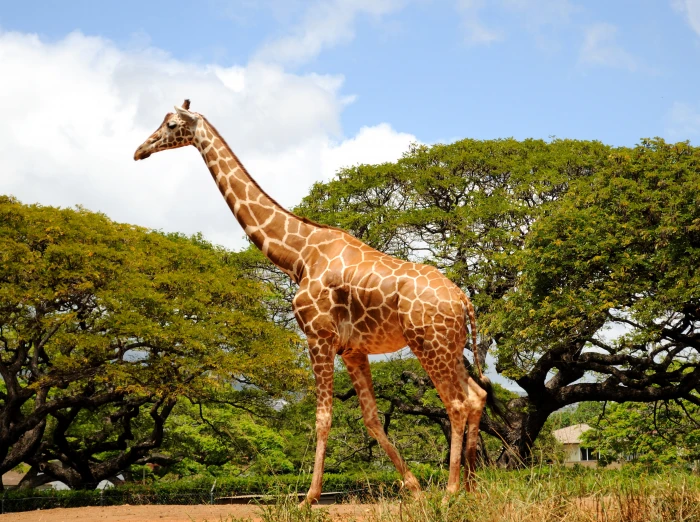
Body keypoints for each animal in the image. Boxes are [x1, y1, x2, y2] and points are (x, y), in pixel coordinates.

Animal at [134, 100, 494, 504]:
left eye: (171, 125)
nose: (140, 150)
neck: (297, 254)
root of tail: (463, 299)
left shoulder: (318, 337)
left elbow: (323, 418)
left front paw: (308, 497)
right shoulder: (352, 349)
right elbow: (371, 419)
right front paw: (413, 487)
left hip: (428, 344)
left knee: (456, 403)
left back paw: (450, 492)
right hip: (450, 347)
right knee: (477, 395)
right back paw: (473, 489)